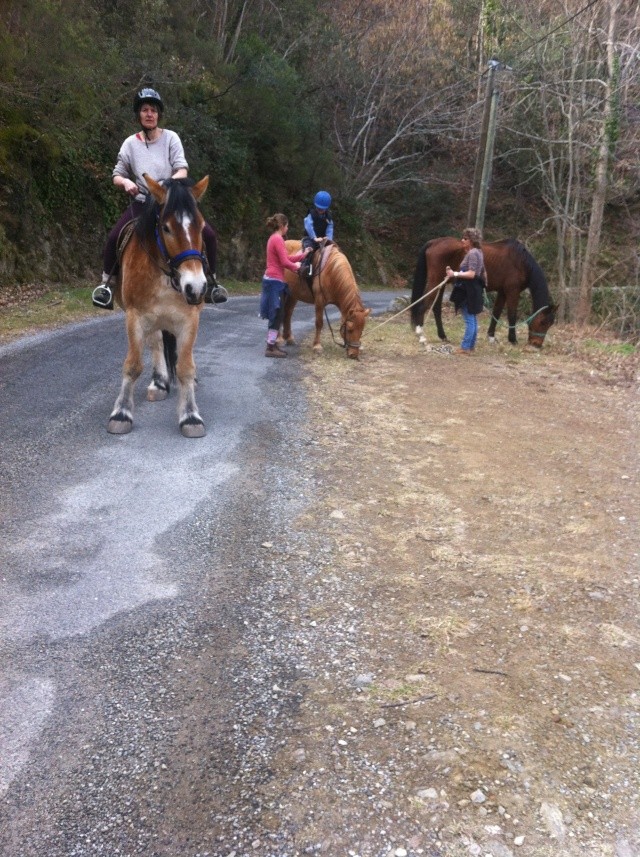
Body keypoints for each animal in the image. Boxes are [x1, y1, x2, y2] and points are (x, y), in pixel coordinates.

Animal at [108, 176, 210, 438]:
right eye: (166, 228)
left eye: (201, 226)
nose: (195, 287)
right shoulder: (135, 316)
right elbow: (133, 365)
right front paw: (121, 413)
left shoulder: (189, 318)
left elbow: (185, 367)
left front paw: (190, 416)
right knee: (156, 343)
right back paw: (160, 382)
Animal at [410, 236, 556, 346]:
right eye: (543, 322)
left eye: (550, 324)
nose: (537, 344)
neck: (520, 261)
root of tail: (434, 242)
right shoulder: (512, 291)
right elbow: (511, 315)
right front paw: (513, 339)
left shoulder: (502, 292)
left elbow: (496, 312)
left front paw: (491, 337)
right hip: (436, 281)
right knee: (423, 306)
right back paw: (421, 335)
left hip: (442, 283)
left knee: (436, 308)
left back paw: (443, 336)